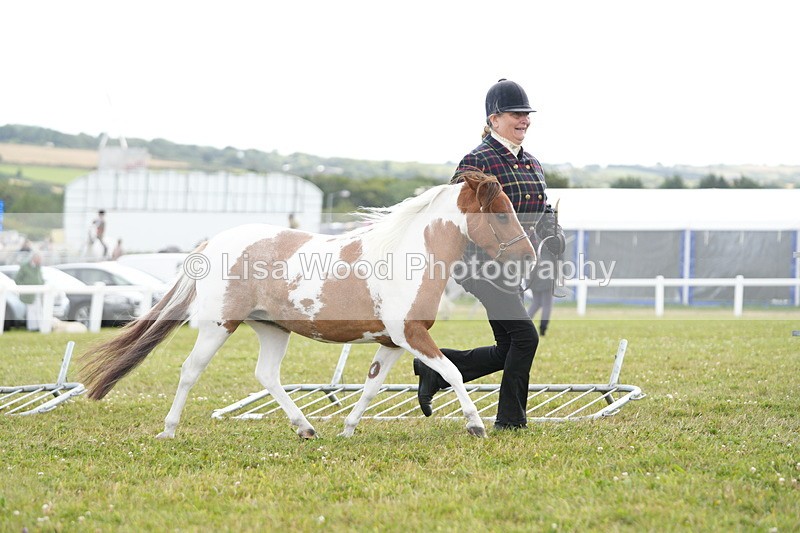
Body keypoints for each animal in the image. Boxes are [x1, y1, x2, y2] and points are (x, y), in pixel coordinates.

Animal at [79, 171, 536, 439]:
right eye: (500, 215)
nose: (528, 256)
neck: (408, 253)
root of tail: (212, 243)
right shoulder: (410, 334)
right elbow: (453, 372)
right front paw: (475, 426)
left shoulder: (392, 341)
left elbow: (372, 385)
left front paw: (348, 429)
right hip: (217, 325)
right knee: (191, 371)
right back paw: (169, 430)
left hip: (271, 329)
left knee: (266, 375)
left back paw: (305, 428)